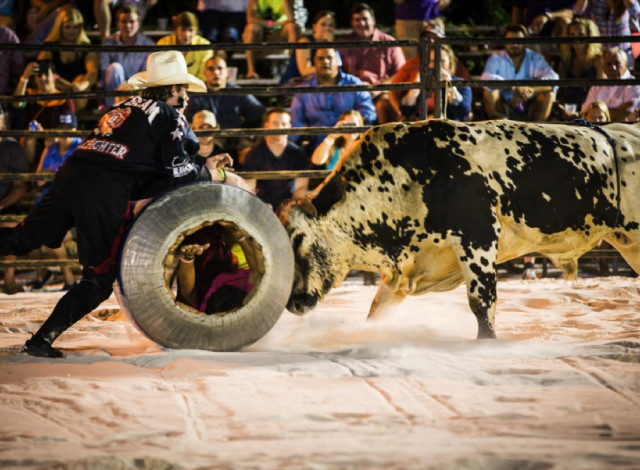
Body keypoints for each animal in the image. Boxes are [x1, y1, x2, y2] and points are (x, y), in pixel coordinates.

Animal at [278, 118, 640, 338]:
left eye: (299, 239)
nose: (292, 302)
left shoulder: (477, 237)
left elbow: (482, 301)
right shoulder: (403, 271)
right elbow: (377, 310)